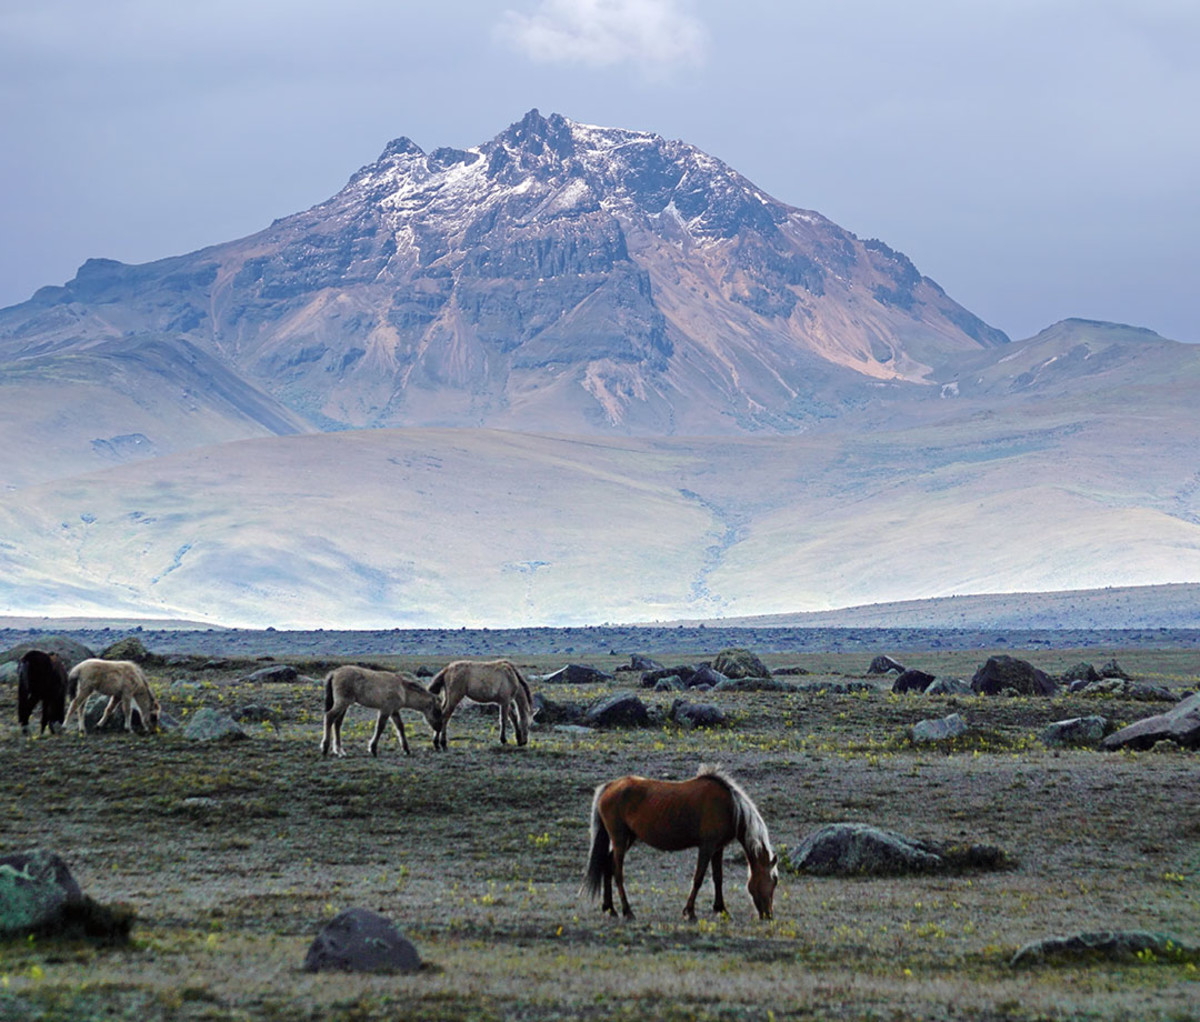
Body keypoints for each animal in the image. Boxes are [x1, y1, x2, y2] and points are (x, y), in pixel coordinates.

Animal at [580, 762, 777, 921]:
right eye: (773, 880)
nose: (768, 915)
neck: (730, 807)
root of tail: (609, 787)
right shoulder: (706, 847)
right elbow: (698, 878)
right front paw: (690, 912)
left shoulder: (717, 849)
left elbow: (718, 878)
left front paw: (721, 909)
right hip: (620, 839)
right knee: (617, 872)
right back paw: (627, 911)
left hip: (627, 838)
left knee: (607, 864)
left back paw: (610, 908)